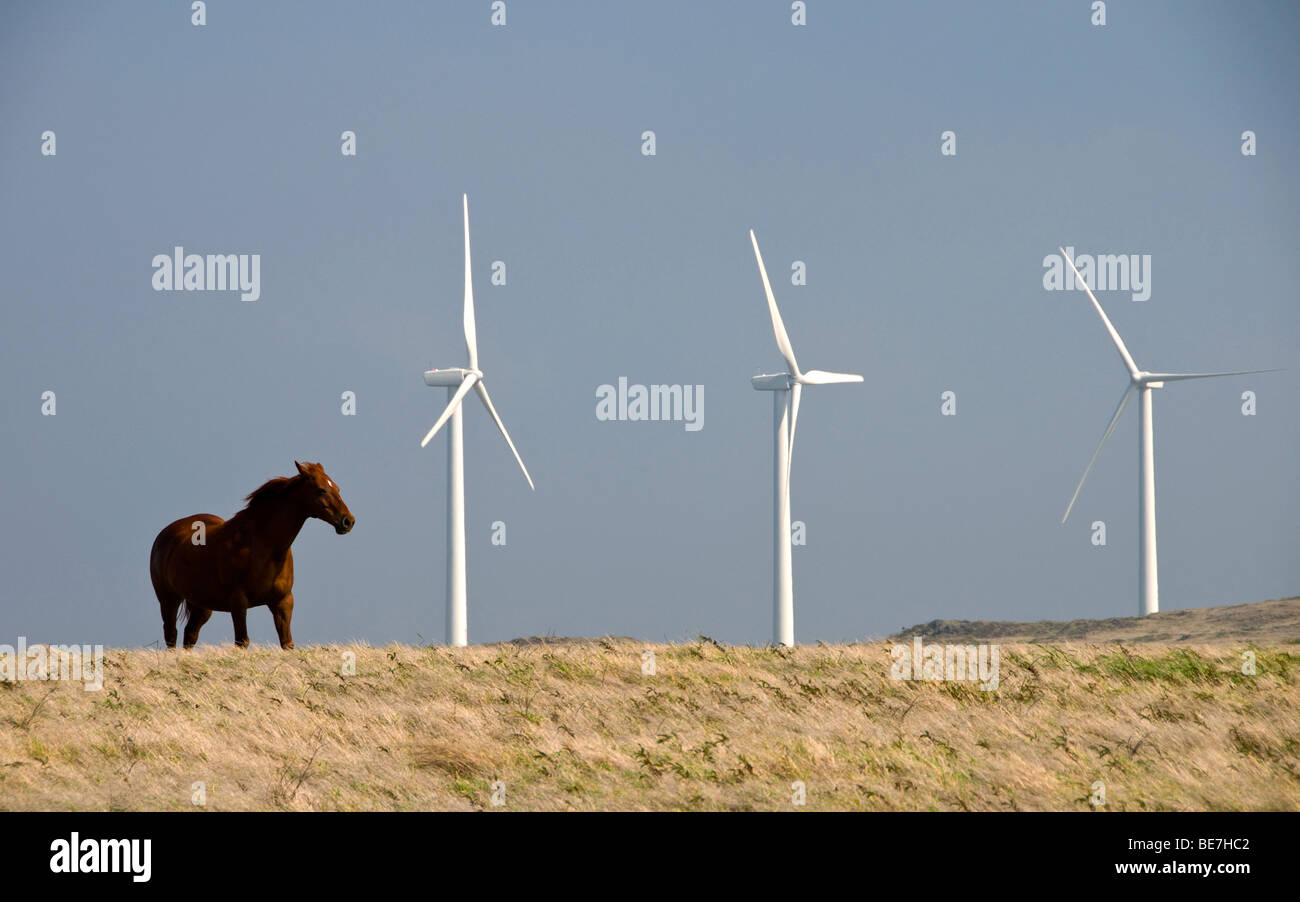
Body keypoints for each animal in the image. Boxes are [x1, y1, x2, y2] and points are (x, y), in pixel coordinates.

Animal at [149, 461, 354, 650]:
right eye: (321, 490)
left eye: (337, 488)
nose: (348, 521)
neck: (263, 546)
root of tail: (167, 534)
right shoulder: (238, 603)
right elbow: (242, 641)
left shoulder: (283, 602)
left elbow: (287, 643)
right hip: (168, 599)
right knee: (171, 634)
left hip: (202, 605)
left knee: (190, 635)